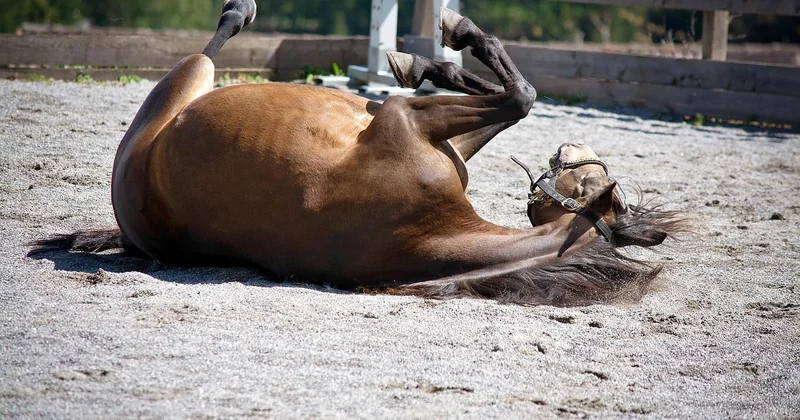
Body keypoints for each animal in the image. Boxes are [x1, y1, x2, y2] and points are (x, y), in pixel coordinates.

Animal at [30, 1, 683, 306]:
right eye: (601, 181)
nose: (573, 149)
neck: (430, 231)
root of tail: (128, 222)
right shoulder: (424, 129)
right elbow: (509, 95)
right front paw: (431, 60)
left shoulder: (405, 120)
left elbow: (518, 96)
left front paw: (448, 42)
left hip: (185, 81)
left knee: (211, 45)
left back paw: (238, 10)